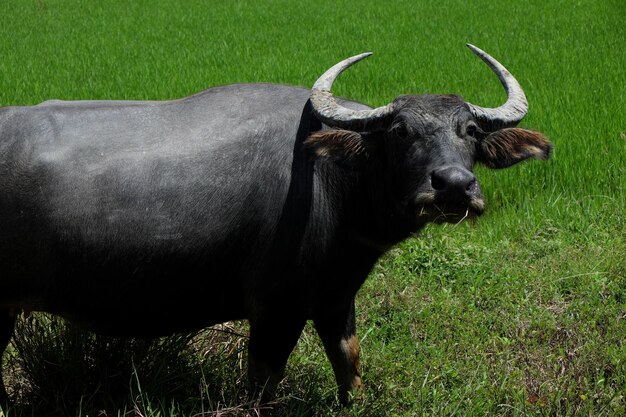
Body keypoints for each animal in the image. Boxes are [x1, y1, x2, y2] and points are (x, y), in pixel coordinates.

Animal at [0, 45, 548, 406]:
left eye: (470, 131)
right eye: (399, 131)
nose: (454, 185)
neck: (331, 180)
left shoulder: (335, 296)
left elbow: (349, 364)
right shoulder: (276, 307)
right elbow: (263, 382)